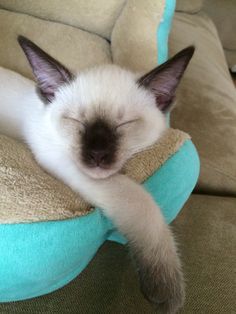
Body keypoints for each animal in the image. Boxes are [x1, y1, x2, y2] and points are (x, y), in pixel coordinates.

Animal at [0, 37, 195, 314]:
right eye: (76, 122)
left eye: (125, 124)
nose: (97, 155)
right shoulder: (64, 163)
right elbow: (141, 201)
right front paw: (166, 291)